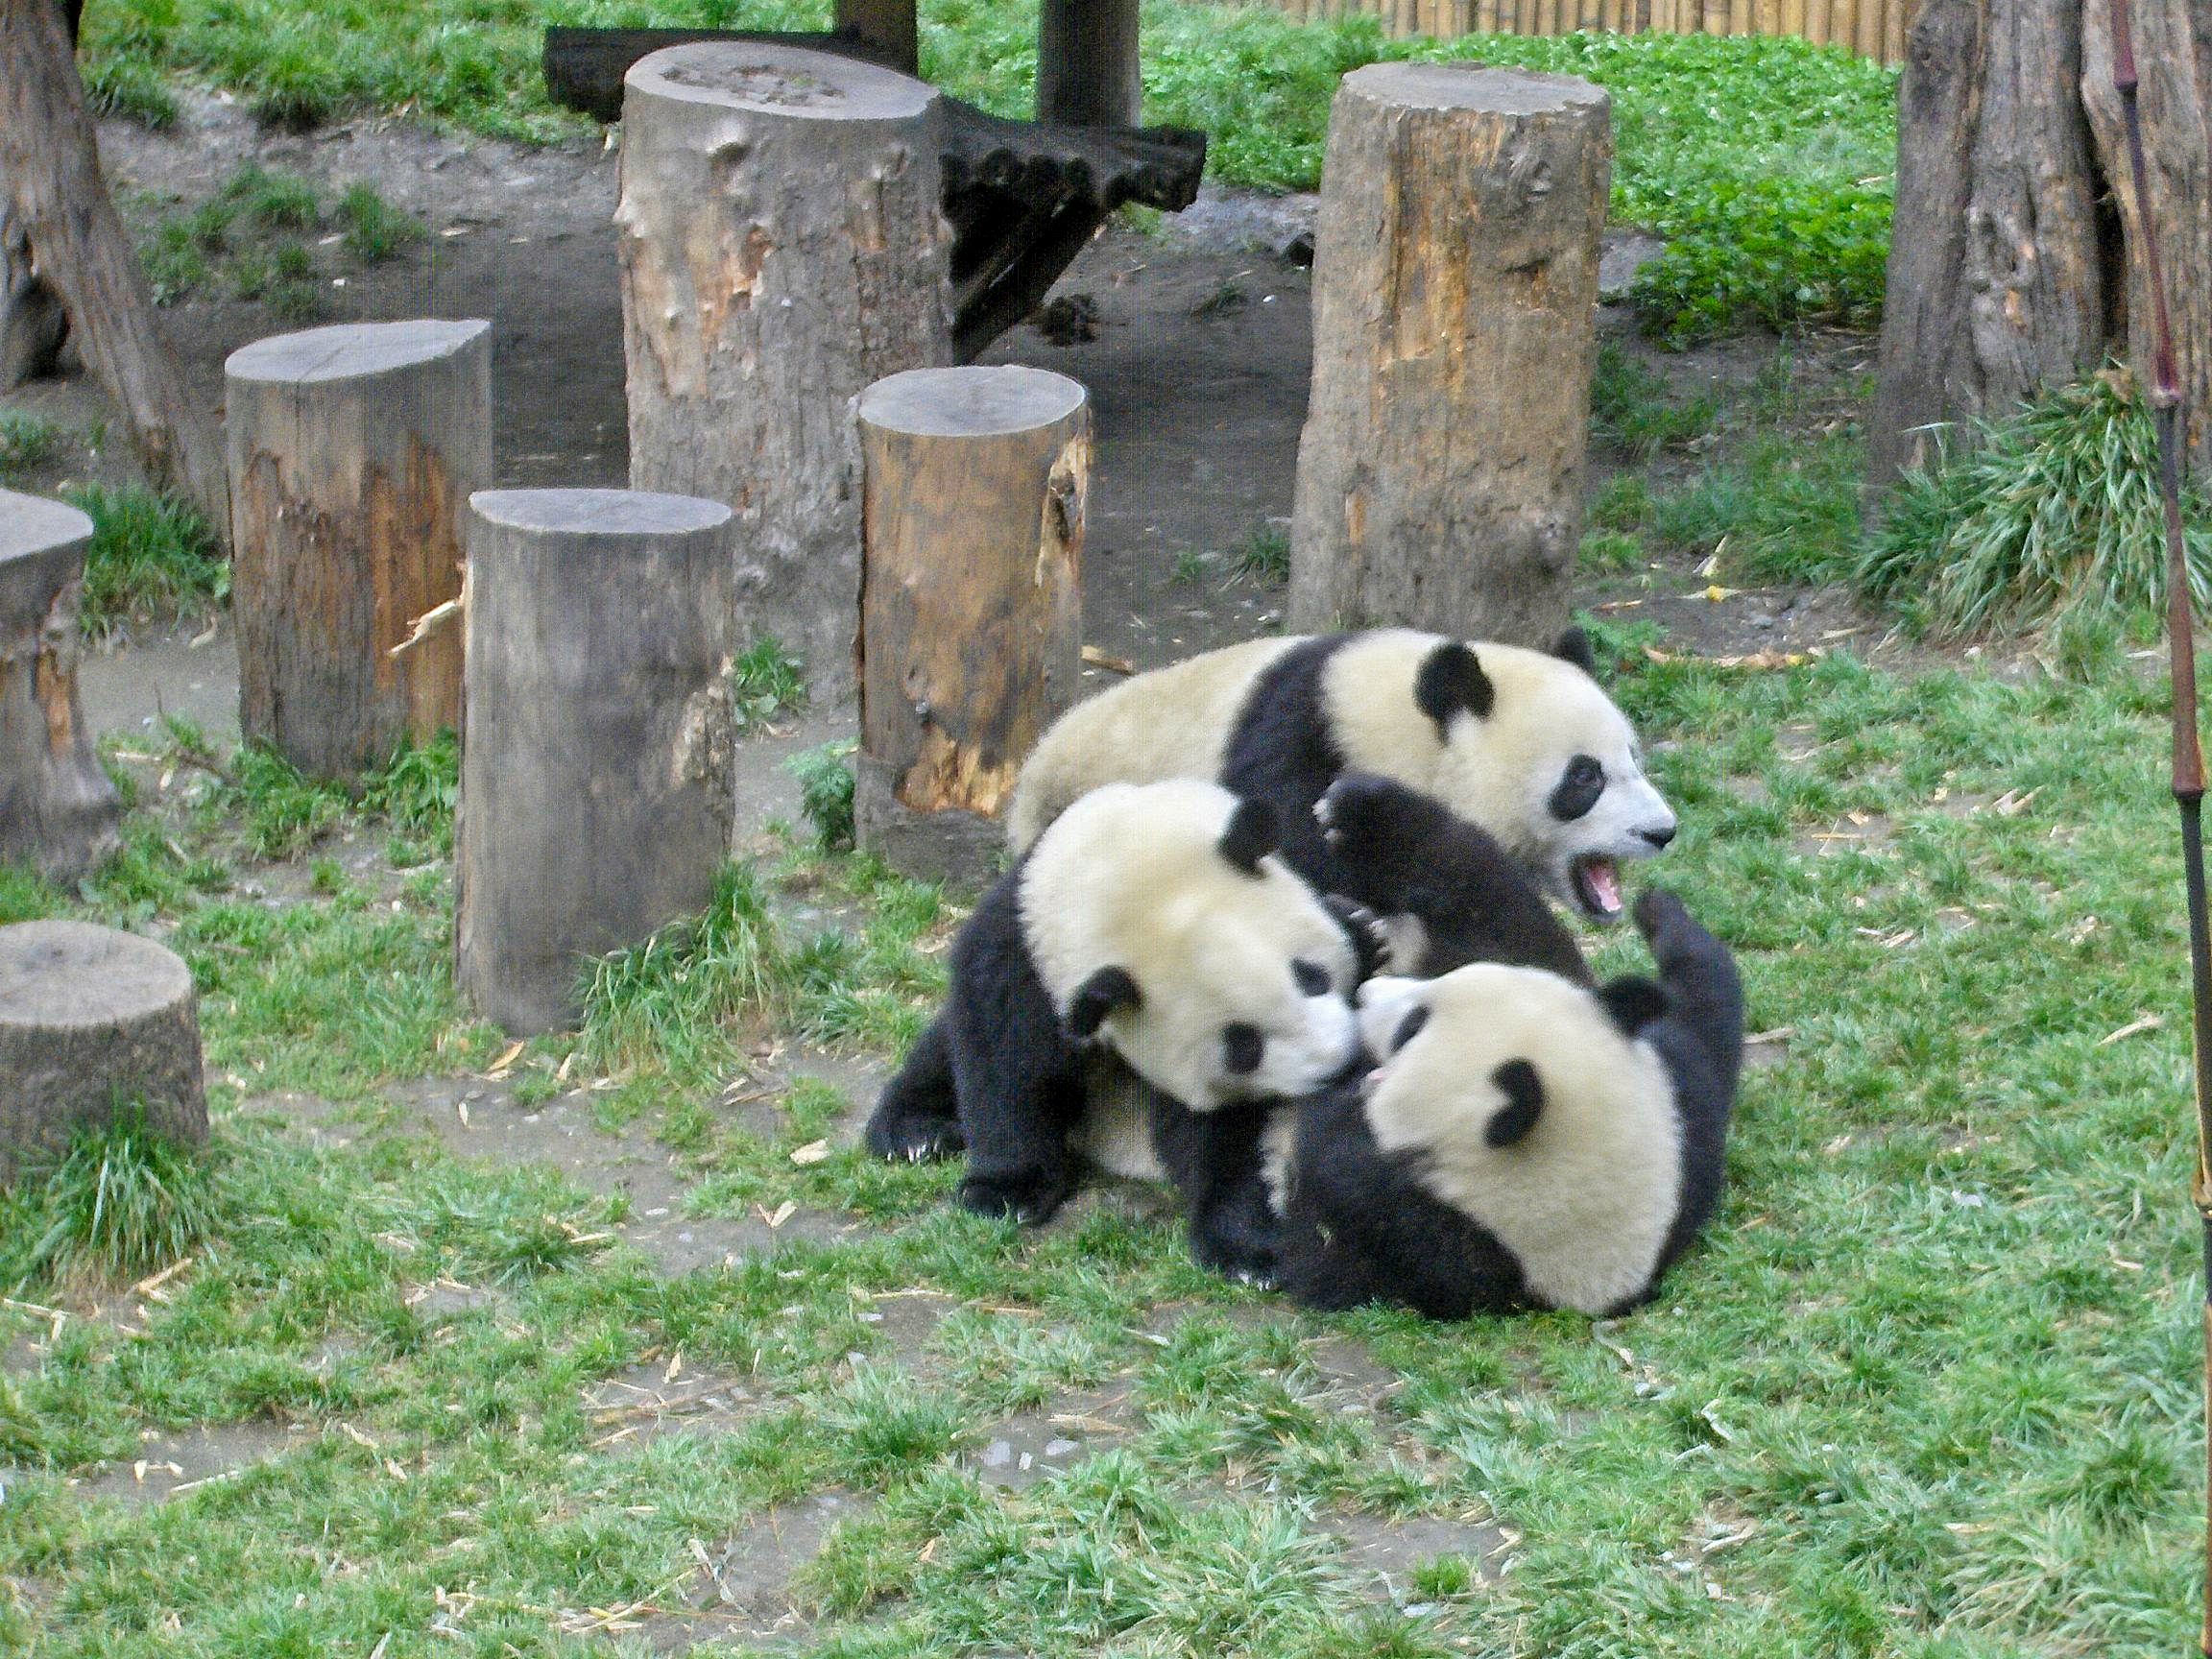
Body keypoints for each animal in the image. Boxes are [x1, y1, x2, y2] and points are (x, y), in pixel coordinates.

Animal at [863, 779, 1383, 1280]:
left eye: (1311, 976)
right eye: (1242, 1045)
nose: (1335, 1065)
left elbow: (1223, 1137)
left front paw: (1247, 1248)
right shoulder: (1024, 959)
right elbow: (1004, 1062)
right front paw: (1006, 1191)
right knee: (939, 1051)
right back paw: (915, 1133)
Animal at [1268, 887, 1745, 1321]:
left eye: (1411, 1028)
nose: (1367, 993)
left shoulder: (1426, 1247)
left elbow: (1328, 1208)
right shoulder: (1684, 1109)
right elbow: (1706, 1009)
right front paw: (1659, 909)